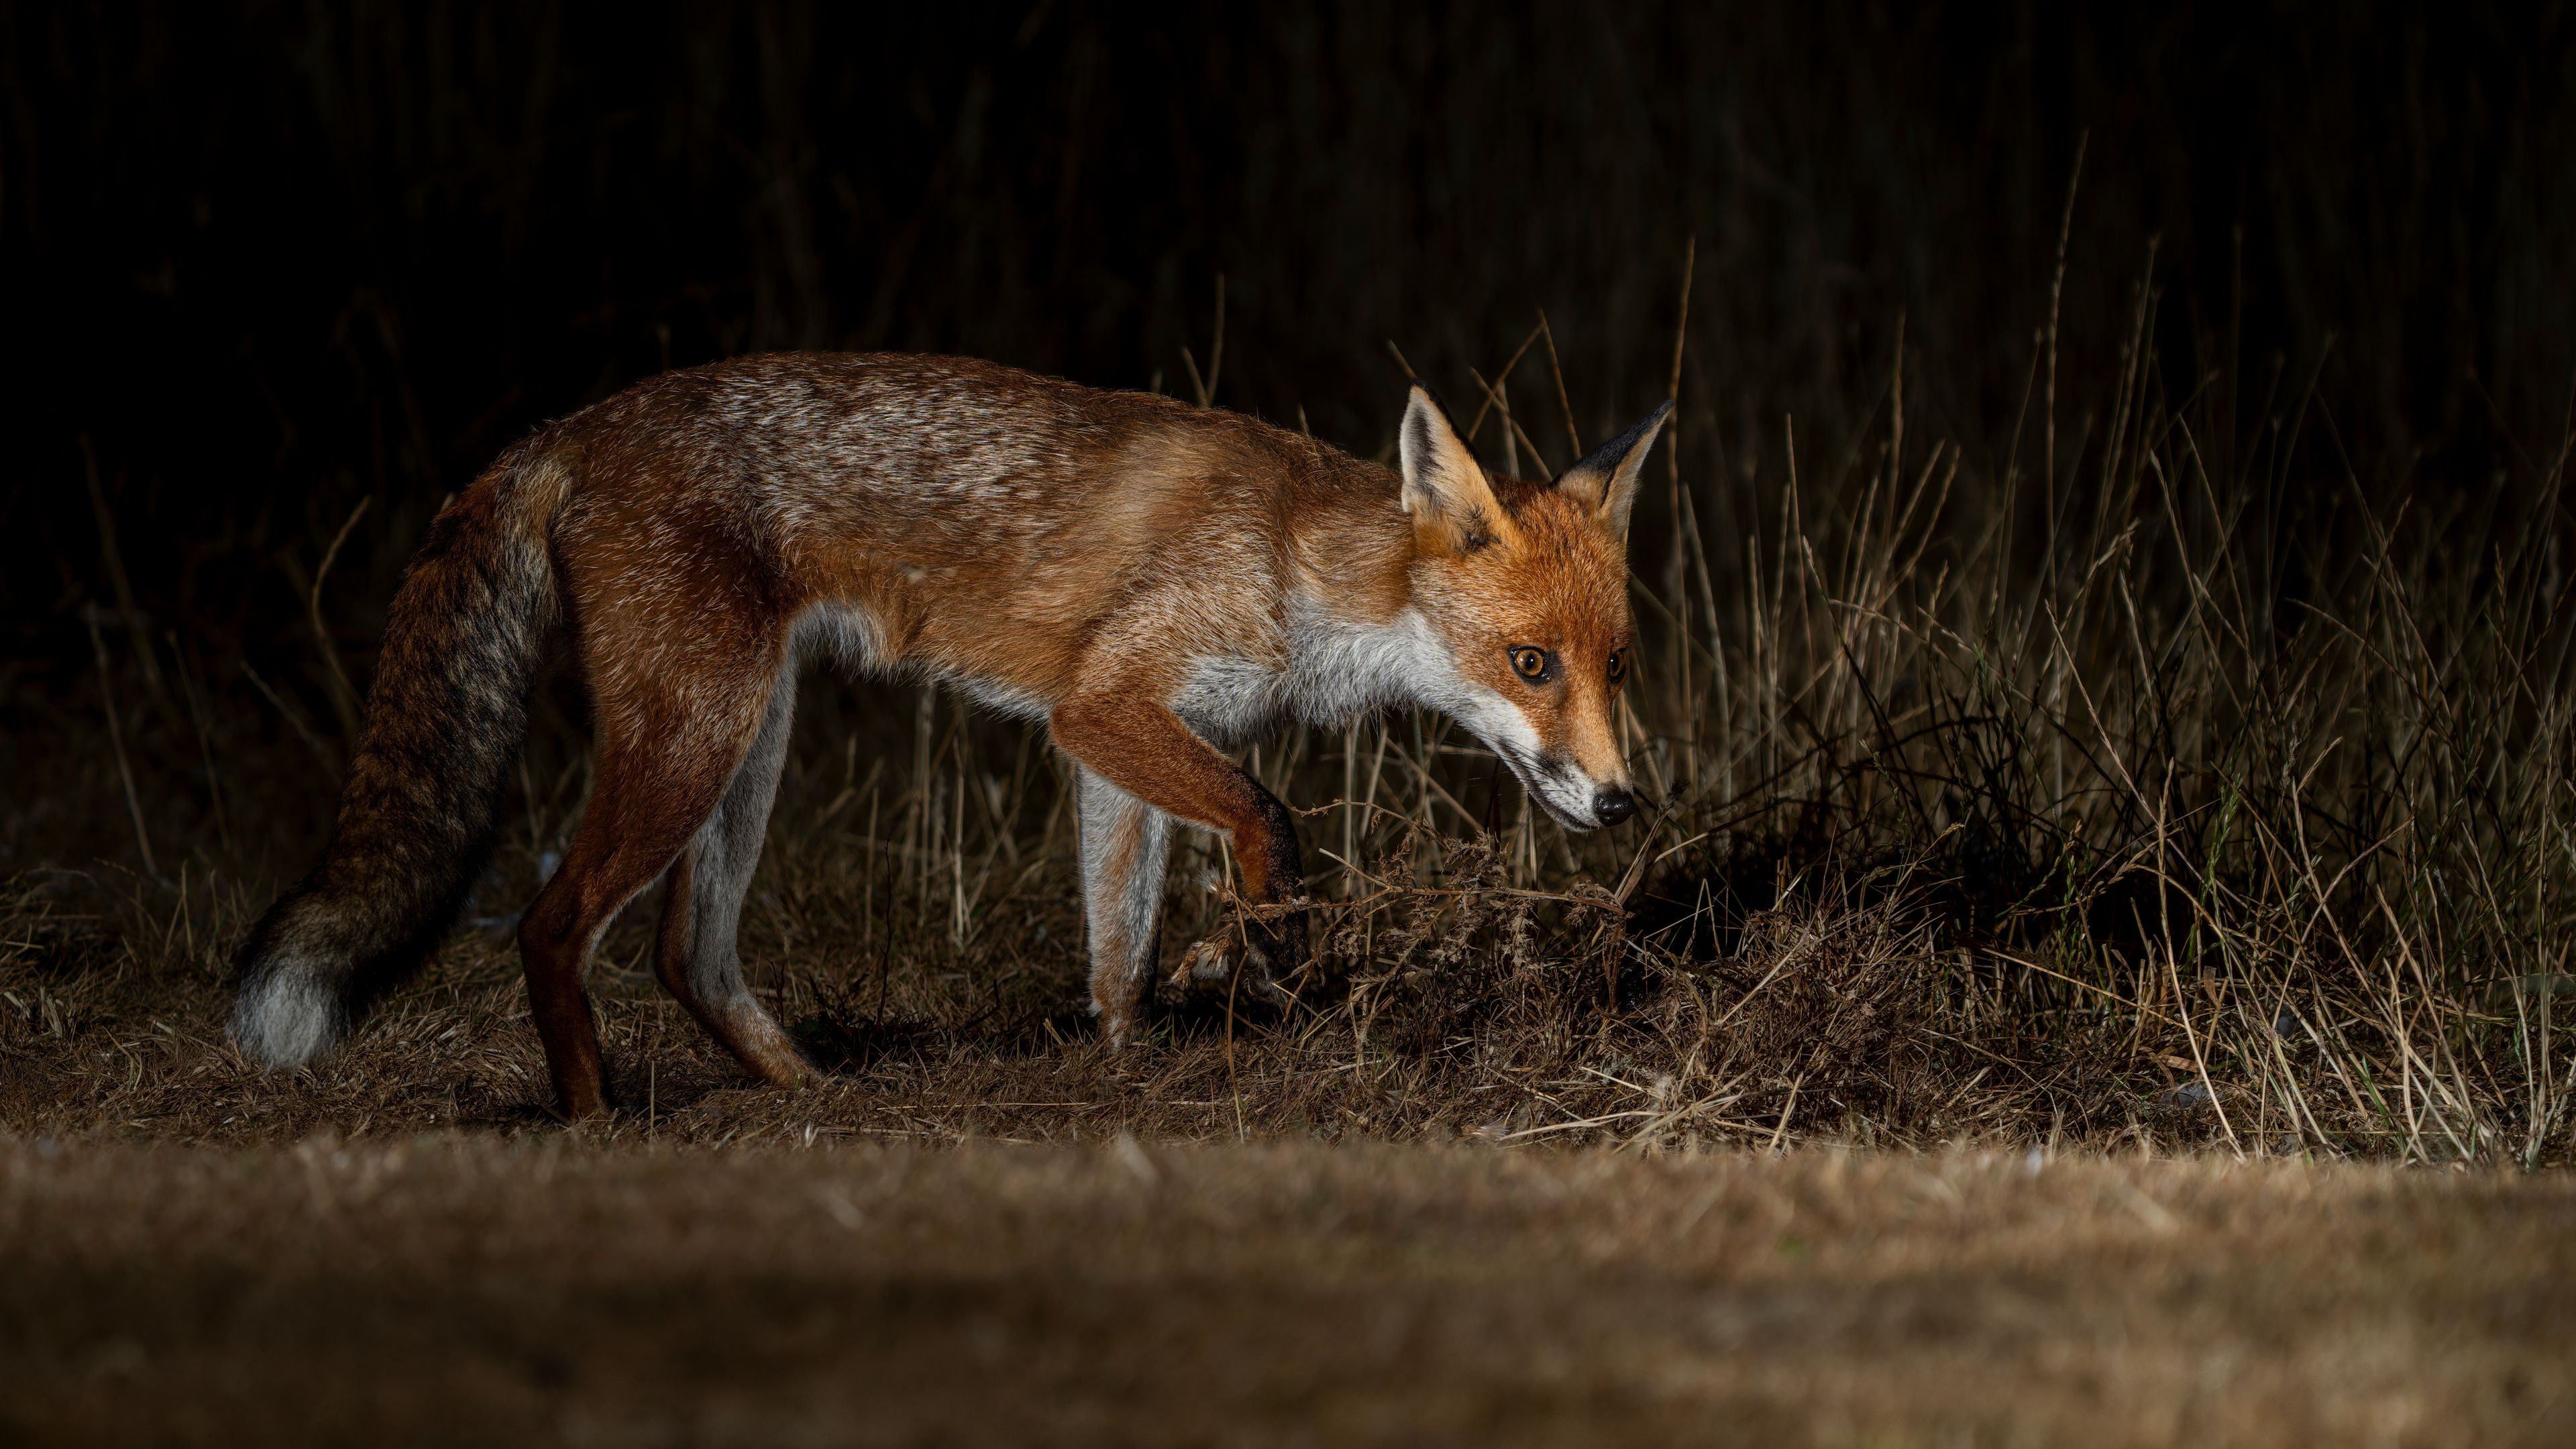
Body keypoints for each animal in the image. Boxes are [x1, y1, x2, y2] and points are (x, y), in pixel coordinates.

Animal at [230, 353, 1671, 1117]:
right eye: (1528, 664)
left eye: (1615, 666)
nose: (1621, 807)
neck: (1301, 571)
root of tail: (564, 429)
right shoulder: (1109, 705)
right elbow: (1268, 823)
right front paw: (1255, 949)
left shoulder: (1130, 737)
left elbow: (1116, 945)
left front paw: (1131, 1064)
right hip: (693, 739)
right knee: (551, 926)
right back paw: (593, 1123)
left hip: (747, 744)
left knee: (687, 955)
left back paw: (811, 1097)